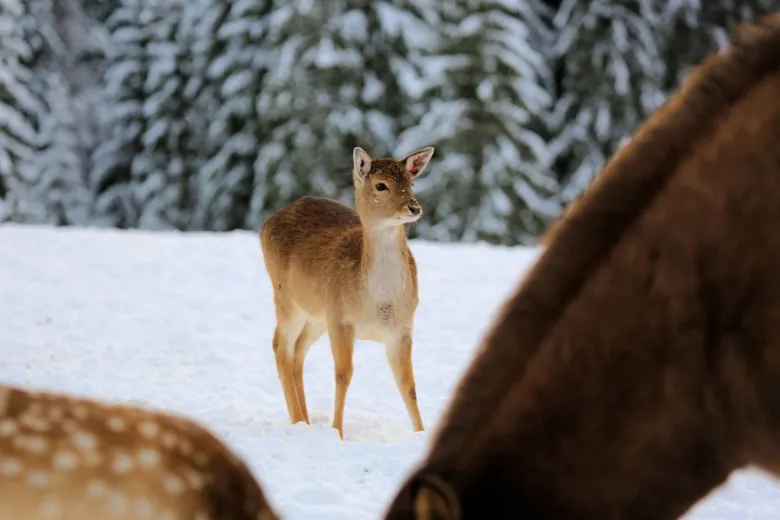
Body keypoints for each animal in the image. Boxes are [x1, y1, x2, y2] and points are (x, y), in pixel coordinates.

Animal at [260, 145, 432, 438]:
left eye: (411, 182)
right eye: (381, 185)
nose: (414, 207)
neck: (376, 303)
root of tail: (266, 223)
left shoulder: (402, 327)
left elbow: (408, 384)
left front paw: (421, 434)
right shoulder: (341, 320)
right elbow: (343, 374)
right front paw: (337, 433)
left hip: (316, 315)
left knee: (298, 351)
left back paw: (306, 420)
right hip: (285, 297)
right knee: (281, 346)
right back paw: (297, 420)